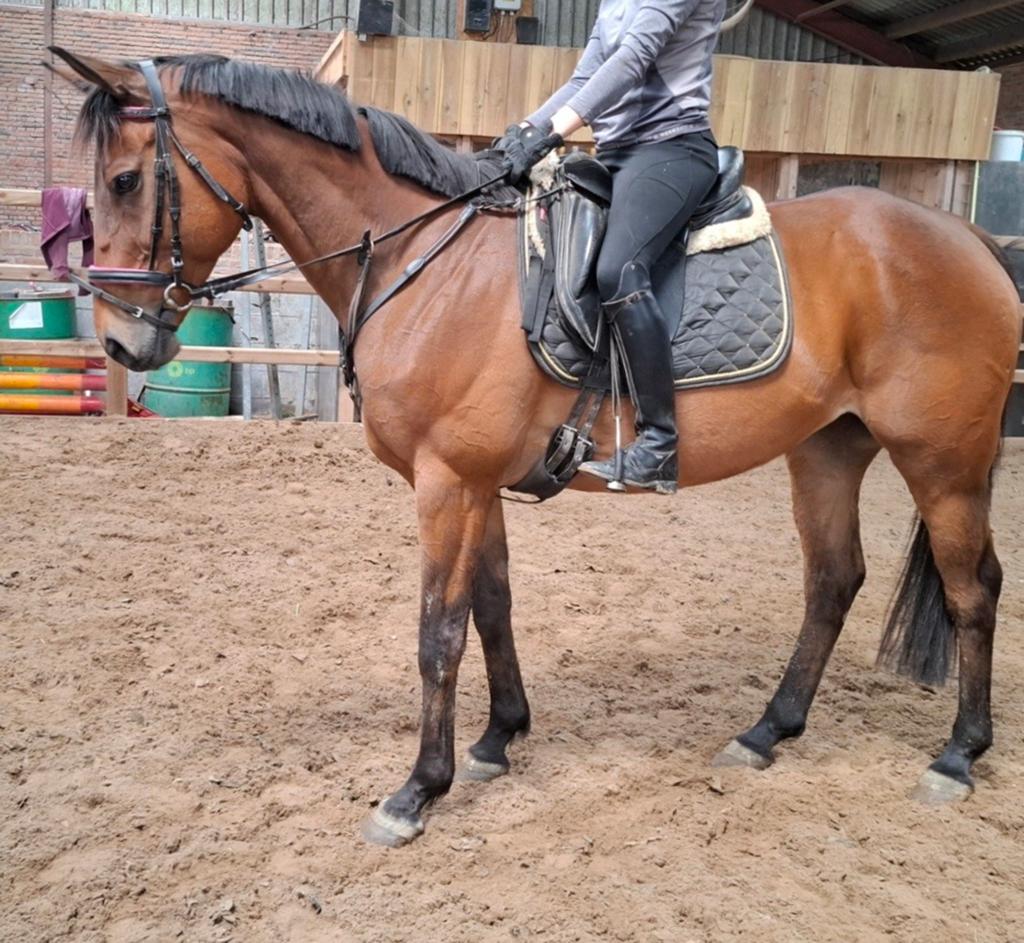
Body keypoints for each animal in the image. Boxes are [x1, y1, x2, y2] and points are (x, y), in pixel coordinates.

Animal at [49, 48, 1021, 847]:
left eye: (127, 181)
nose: (121, 343)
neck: (424, 259)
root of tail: (968, 237)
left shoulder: (446, 482)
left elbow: (437, 631)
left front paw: (417, 789)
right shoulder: (475, 482)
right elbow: (493, 606)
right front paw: (496, 738)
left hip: (942, 461)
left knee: (973, 589)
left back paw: (956, 756)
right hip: (827, 449)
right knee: (833, 580)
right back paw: (765, 732)